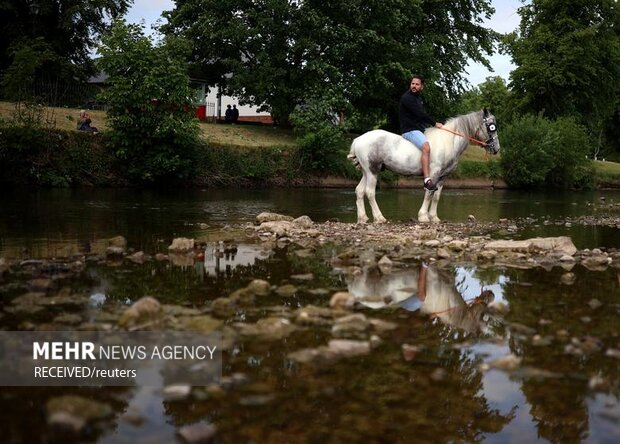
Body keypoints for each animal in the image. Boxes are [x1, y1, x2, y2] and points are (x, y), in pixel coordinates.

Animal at [346, 109, 502, 224]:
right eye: (491, 127)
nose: (496, 149)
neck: (448, 141)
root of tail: (358, 139)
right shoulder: (433, 174)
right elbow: (428, 194)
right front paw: (423, 216)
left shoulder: (442, 177)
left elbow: (436, 196)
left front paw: (434, 217)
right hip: (372, 171)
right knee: (370, 192)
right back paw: (379, 218)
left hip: (366, 172)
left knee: (359, 191)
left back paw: (363, 218)